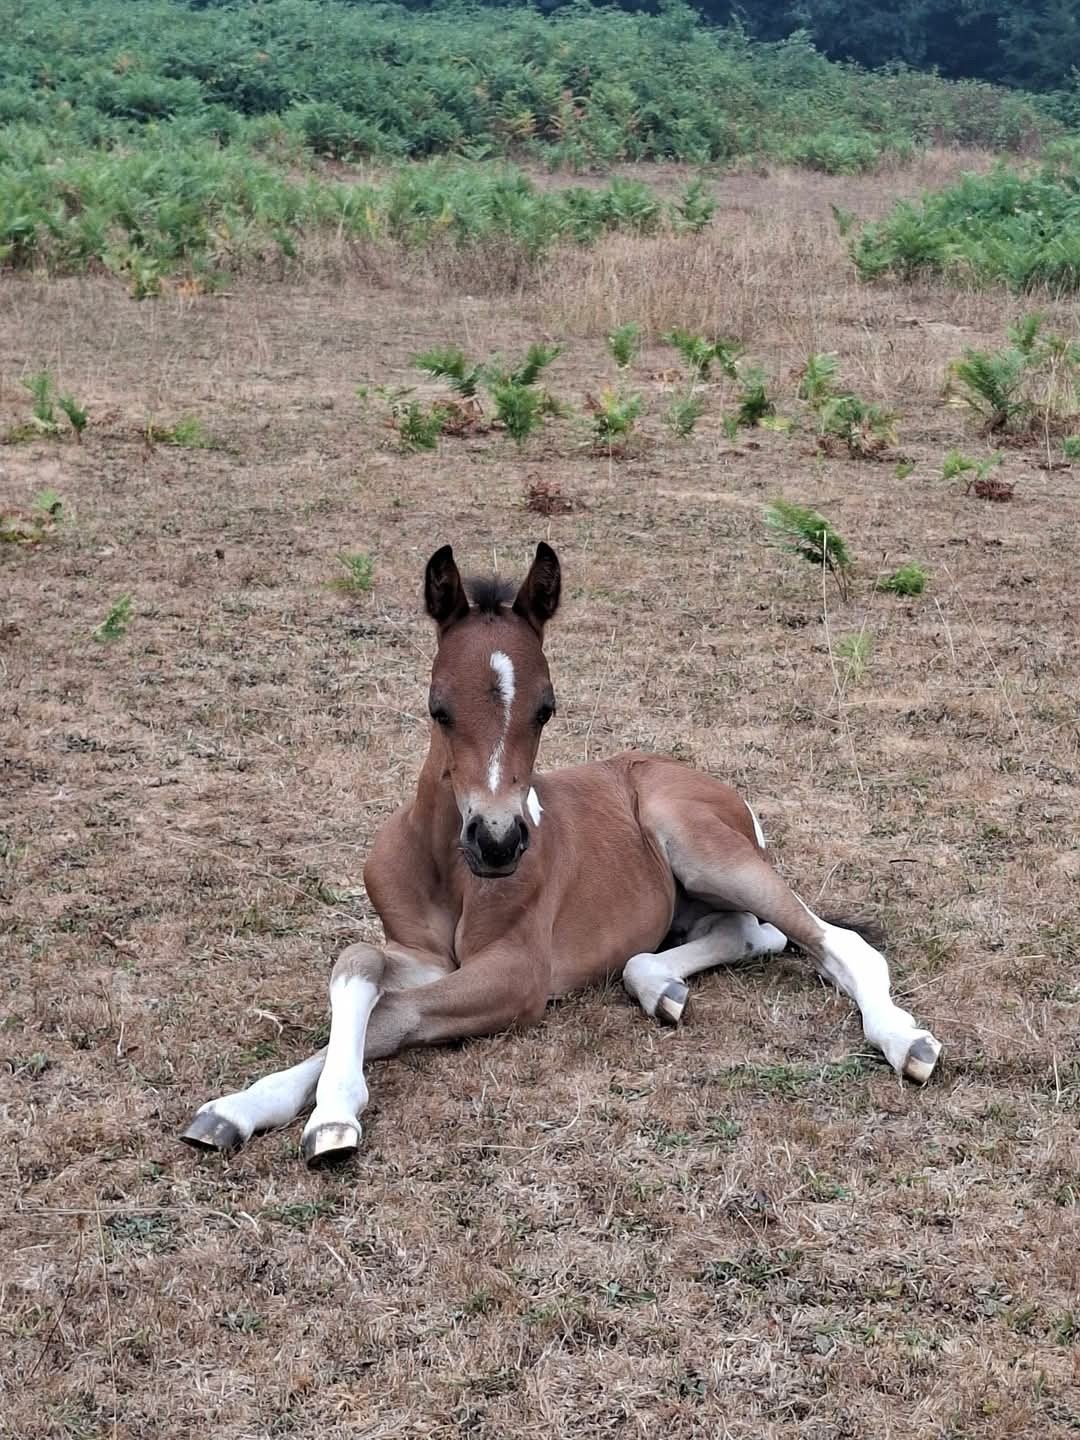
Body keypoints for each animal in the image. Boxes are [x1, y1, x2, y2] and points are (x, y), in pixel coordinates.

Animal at [181, 542, 942, 1167]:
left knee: (831, 940)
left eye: (545, 708)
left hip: (701, 845)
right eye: (438, 708)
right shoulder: (426, 955)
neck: (448, 869)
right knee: (744, 935)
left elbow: (395, 1016)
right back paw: (661, 987)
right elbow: (359, 967)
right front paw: (238, 1108)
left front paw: (332, 1118)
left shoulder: (520, 973)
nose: (497, 841)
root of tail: (720, 790)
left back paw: (906, 1042)